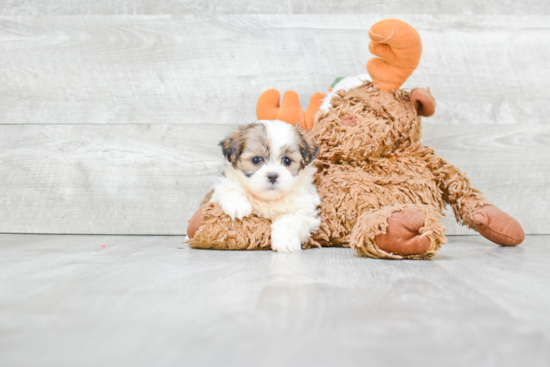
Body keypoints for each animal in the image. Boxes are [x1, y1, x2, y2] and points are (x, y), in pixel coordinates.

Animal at [211, 121, 324, 253]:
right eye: (256, 159)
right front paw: (237, 205)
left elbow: (289, 219)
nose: (272, 176)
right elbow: (228, 187)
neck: (267, 199)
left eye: (286, 160)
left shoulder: (305, 210)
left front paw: (285, 241)